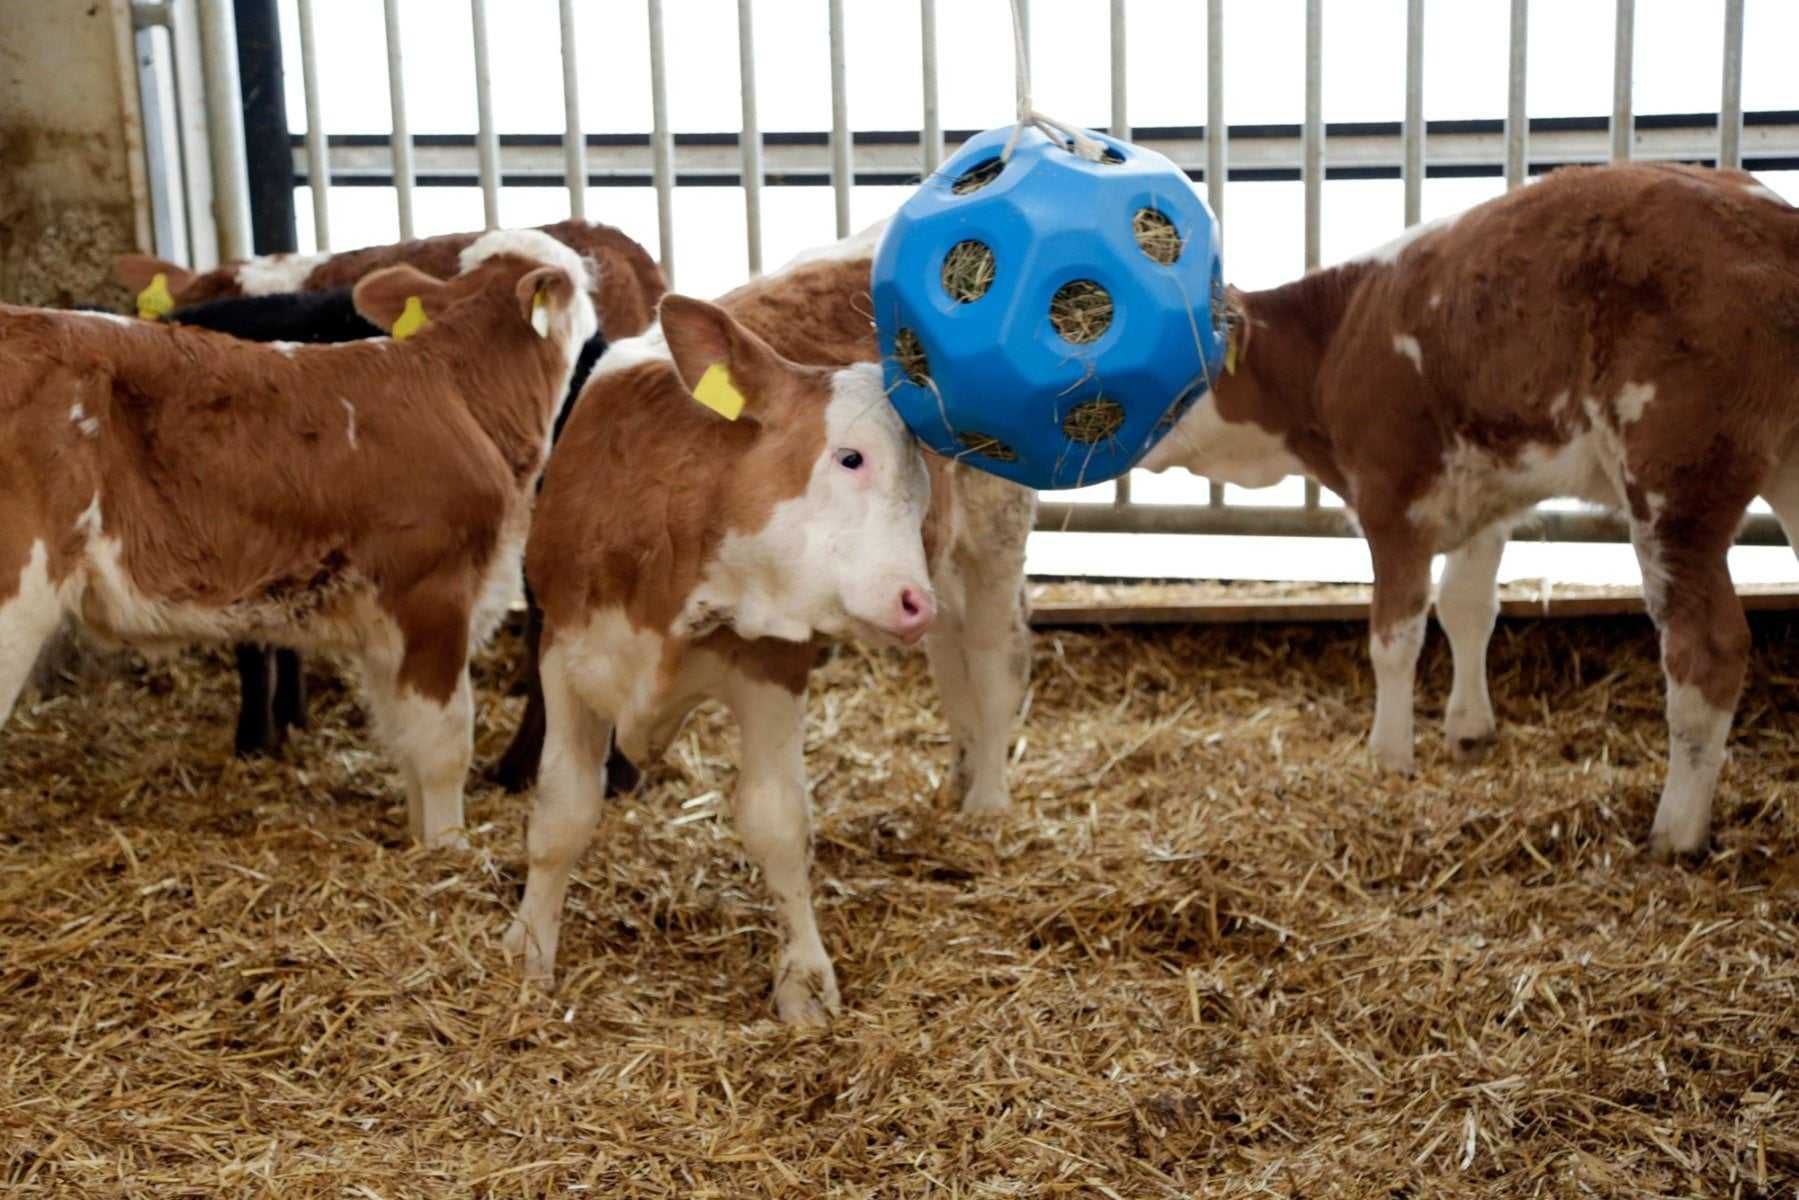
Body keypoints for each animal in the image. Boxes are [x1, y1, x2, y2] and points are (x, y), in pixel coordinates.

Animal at [0, 224, 604, 845]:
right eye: (575, 280)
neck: (460, 394)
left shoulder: (385, 626)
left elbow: (406, 741)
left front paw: (419, 842)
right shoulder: (432, 595)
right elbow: (444, 744)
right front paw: (449, 848)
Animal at [507, 232, 1043, 1021]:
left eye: (919, 485)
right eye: (849, 458)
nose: (908, 600)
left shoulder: (772, 665)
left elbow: (777, 823)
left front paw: (805, 980)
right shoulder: (565, 651)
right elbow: (560, 814)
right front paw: (528, 950)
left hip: (991, 534)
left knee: (994, 659)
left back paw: (986, 806)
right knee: (953, 665)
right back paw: (960, 775)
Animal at [1136, 164, 1799, 859]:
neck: (1332, 341)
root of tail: (1772, 220)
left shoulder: (1390, 495)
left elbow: (1394, 636)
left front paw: (1388, 759)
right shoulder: (1485, 494)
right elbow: (1467, 608)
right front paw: (1469, 730)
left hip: (1676, 479)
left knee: (1707, 648)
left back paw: (1675, 832)